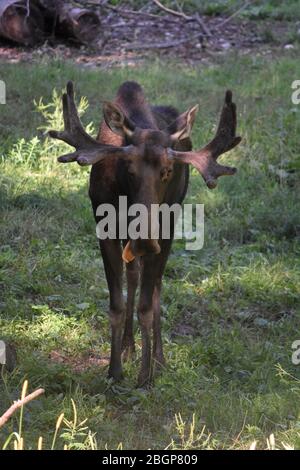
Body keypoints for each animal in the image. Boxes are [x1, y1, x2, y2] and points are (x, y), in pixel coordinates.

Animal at [49, 81, 241, 386]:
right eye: (128, 168)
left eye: (168, 170)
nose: (145, 238)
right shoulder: (104, 225)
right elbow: (117, 303)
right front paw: (114, 371)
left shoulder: (166, 228)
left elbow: (147, 306)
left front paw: (146, 376)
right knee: (133, 274)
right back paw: (129, 347)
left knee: (157, 285)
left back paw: (159, 359)